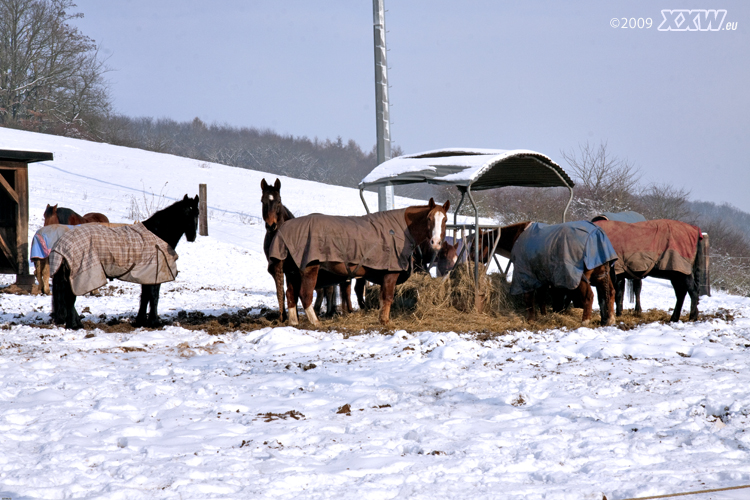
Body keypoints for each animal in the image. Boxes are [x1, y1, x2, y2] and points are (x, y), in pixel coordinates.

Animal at [51, 196, 201, 332]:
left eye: (197, 213)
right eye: (185, 213)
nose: (192, 236)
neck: (157, 234)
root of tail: (62, 243)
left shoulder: (146, 276)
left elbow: (144, 298)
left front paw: (140, 321)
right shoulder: (155, 276)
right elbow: (154, 297)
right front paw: (154, 322)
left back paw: (76, 323)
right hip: (78, 275)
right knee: (70, 298)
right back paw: (74, 325)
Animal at [268, 197, 450, 326]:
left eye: (445, 220)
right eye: (429, 218)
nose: (435, 242)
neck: (401, 228)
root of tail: (284, 230)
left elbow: (382, 297)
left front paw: (381, 318)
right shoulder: (391, 272)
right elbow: (388, 296)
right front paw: (385, 321)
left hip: (293, 271)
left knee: (290, 294)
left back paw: (294, 321)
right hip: (309, 268)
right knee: (305, 295)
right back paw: (315, 322)